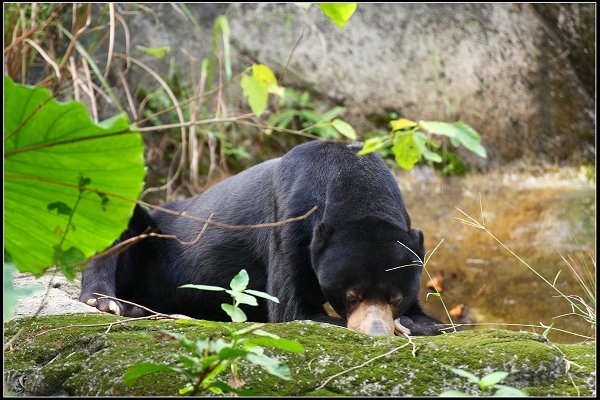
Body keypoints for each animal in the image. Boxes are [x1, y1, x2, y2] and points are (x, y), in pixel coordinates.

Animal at [79, 139, 442, 336]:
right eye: (351, 297)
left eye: (395, 299)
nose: (375, 332)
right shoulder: (292, 217)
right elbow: (292, 309)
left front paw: (416, 322)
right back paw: (110, 302)